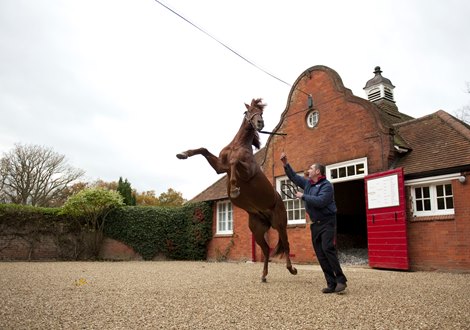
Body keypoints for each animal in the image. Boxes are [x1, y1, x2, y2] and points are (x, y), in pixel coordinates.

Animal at [176, 97, 298, 282]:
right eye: (248, 111)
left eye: (261, 112)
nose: (260, 123)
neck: (237, 145)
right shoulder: (220, 167)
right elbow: (203, 150)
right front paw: (183, 154)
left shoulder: (245, 171)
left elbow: (234, 162)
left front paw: (234, 188)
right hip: (257, 230)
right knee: (266, 250)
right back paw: (263, 276)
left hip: (280, 225)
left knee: (286, 244)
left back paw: (292, 269)